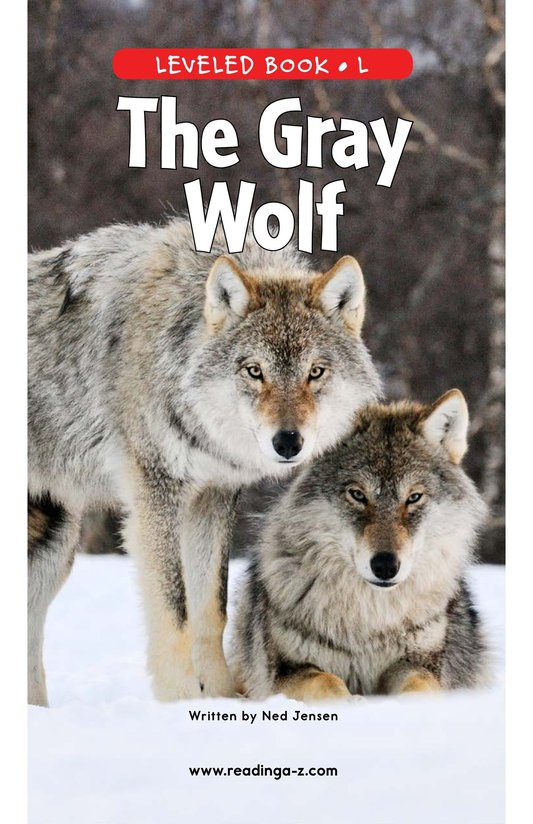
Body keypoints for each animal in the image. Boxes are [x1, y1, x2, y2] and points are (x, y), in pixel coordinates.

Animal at [28, 217, 380, 705]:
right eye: (254, 371)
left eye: (315, 373)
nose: (288, 442)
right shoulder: (157, 494)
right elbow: (174, 614)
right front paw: (179, 702)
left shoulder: (212, 496)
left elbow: (211, 612)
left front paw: (219, 698)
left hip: (55, 548)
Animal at [231, 390, 490, 700]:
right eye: (357, 495)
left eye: (414, 497)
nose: (385, 565)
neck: (370, 621)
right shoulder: (286, 670)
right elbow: (326, 681)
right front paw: (350, 703)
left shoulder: (420, 663)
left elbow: (419, 685)